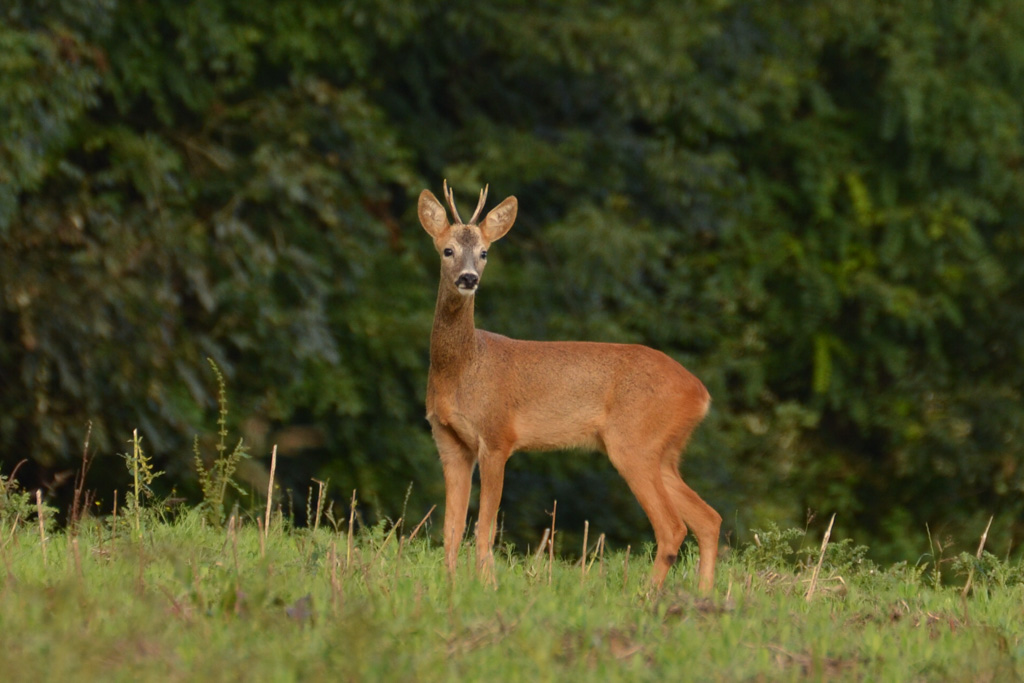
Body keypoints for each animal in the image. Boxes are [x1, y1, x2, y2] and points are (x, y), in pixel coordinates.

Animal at [415, 181, 720, 593]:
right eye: (447, 250)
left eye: (484, 253)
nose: (468, 278)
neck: (464, 368)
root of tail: (701, 393)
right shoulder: (449, 442)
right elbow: (451, 527)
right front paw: (450, 588)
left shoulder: (497, 438)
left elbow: (484, 526)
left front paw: (487, 586)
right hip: (663, 450)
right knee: (708, 519)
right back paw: (703, 597)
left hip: (634, 443)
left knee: (673, 527)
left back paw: (645, 596)